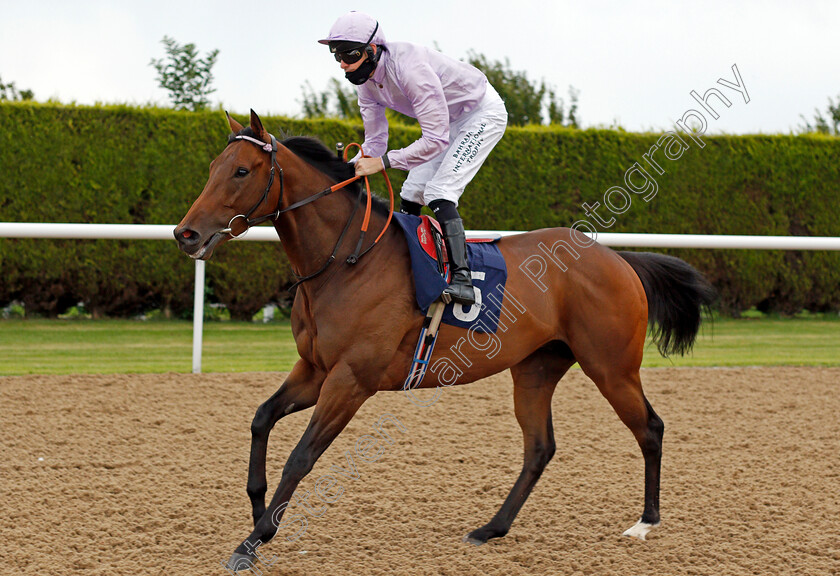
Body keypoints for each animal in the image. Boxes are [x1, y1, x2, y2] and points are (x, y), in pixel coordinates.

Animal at [174, 110, 712, 568]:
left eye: (242, 171)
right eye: (213, 167)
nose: (186, 234)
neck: (347, 260)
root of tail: (617, 258)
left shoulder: (351, 380)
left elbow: (301, 457)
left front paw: (252, 541)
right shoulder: (315, 369)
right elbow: (261, 418)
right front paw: (257, 509)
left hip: (611, 366)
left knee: (650, 428)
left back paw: (644, 523)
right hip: (537, 368)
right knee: (540, 447)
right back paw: (491, 528)